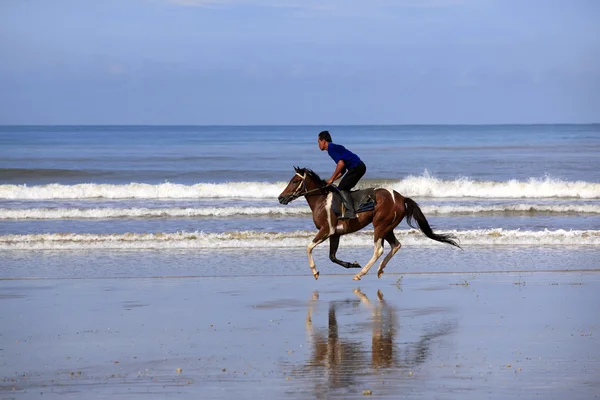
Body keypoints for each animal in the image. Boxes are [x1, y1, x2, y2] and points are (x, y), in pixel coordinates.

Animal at [276, 167, 460, 280]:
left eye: (294, 181)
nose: (280, 198)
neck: (322, 201)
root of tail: (401, 197)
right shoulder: (335, 234)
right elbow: (332, 257)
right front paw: (352, 264)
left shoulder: (326, 230)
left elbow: (308, 247)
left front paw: (315, 271)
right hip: (388, 227)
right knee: (396, 245)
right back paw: (379, 269)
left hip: (380, 225)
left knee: (379, 249)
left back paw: (361, 273)